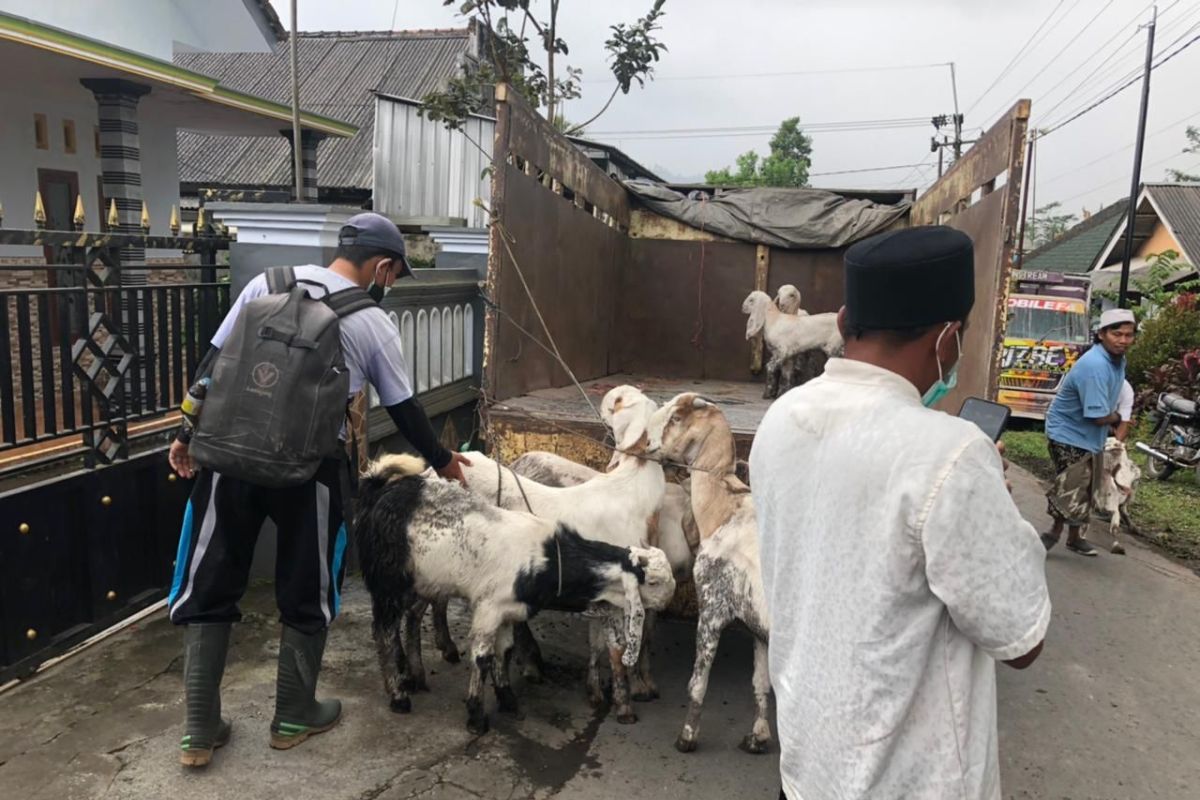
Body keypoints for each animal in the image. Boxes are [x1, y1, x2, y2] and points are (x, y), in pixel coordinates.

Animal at [352, 453, 676, 734]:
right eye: (653, 582)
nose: (669, 599)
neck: (546, 558)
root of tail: (380, 490)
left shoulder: (509, 611)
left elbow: (504, 650)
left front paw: (508, 699)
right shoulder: (488, 608)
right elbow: (482, 658)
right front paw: (476, 716)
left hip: (424, 581)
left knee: (409, 618)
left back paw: (413, 676)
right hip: (389, 581)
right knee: (383, 631)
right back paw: (398, 694)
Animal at [648, 393, 768, 758]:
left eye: (676, 417)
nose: (645, 443)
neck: (724, 511)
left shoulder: (712, 610)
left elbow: (698, 682)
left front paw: (687, 737)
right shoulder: (757, 628)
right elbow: (760, 682)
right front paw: (758, 738)